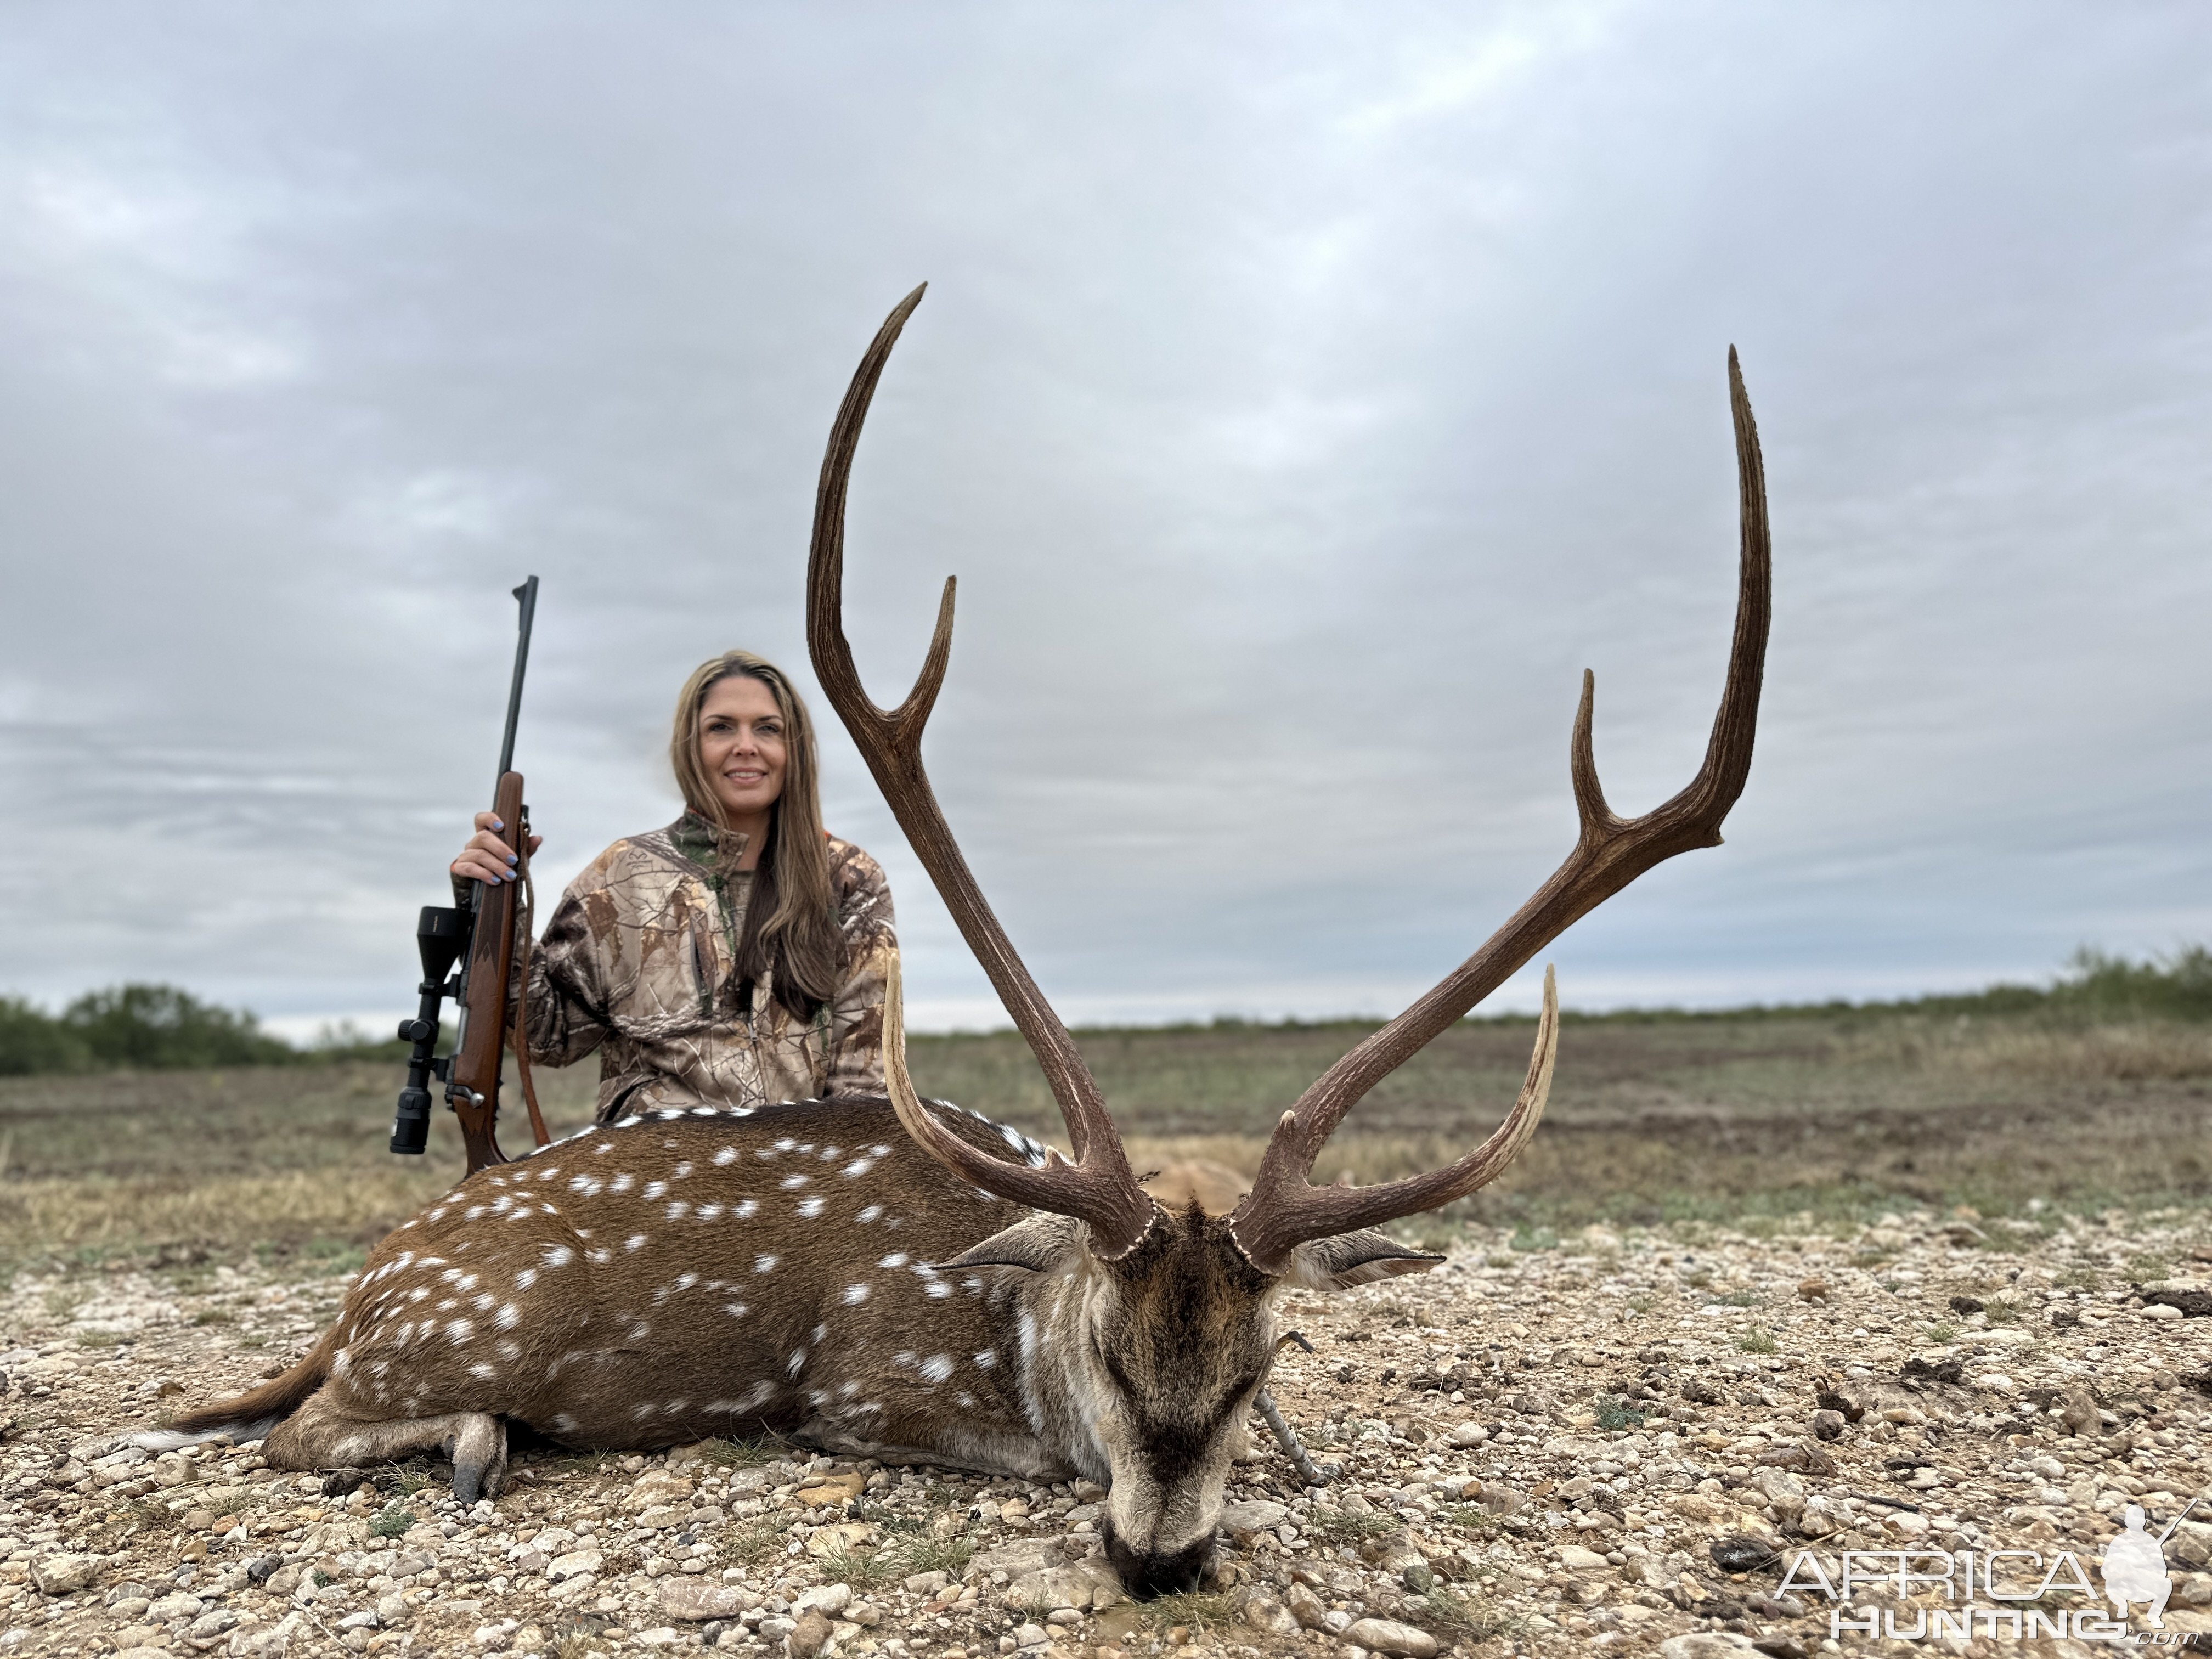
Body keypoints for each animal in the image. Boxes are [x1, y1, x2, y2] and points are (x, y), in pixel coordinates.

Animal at [137, 287, 1771, 1599]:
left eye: (1263, 1364)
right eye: (1112, 1352)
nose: (1158, 1562)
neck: (1011, 1326)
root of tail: (365, 1284)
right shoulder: (866, 1384)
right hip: (462, 1331)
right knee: (294, 1432)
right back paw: (477, 1442)